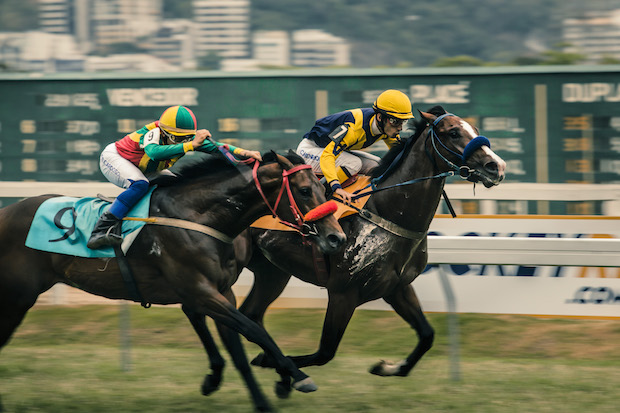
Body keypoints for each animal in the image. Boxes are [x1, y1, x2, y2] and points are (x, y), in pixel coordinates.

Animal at [0, 151, 344, 412]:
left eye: (322, 188)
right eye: (304, 190)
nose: (336, 237)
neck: (197, 217)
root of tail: (6, 212)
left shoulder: (220, 293)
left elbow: (239, 348)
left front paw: (260, 396)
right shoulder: (201, 292)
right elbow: (254, 329)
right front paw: (296, 376)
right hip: (17, 297)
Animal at [235, 107, 506, 380]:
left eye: (476, 130)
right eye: (453, 132)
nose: (497, 166)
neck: (386, 212)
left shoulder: (397, 288)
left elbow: (427, 335)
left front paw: (387, 367)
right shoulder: (342, 293)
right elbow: (325, 352)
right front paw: (277, 366)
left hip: (272, 271)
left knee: (251, 313)